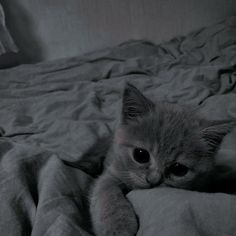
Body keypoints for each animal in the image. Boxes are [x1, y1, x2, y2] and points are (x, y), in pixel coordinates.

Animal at [89, 84, 234, 235]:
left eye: (179, 169)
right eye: (141, 155)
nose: (154, 180)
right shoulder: (113, 172)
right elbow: (106, 191)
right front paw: (118, 226)